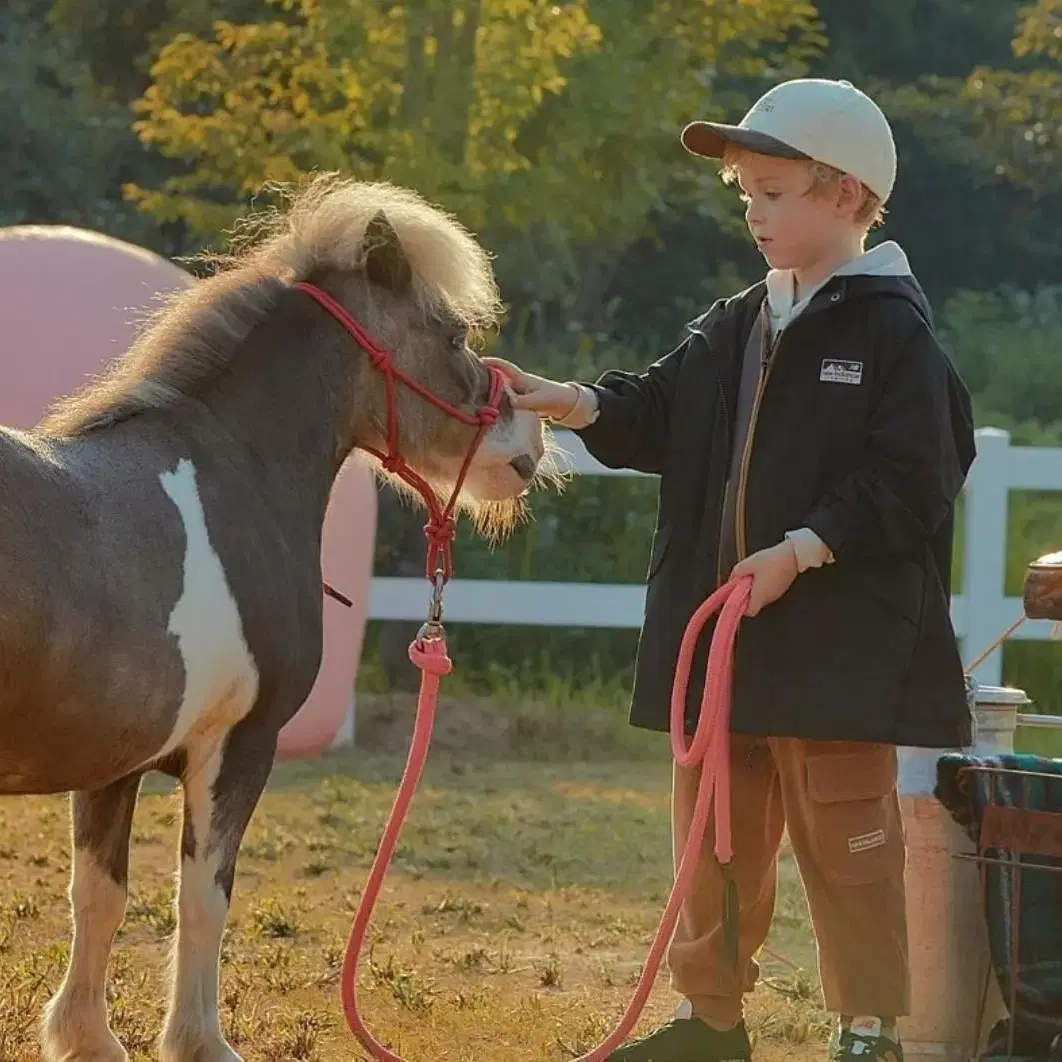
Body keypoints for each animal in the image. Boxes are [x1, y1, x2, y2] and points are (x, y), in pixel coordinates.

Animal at [0, 176, 547, 1062]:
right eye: (453, 332)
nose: (528, 440)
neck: (235, 471)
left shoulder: (113, 763)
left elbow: (100, 898)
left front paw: (87, 1037)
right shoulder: (240, 745)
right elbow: (203, 899)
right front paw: (198, 1040)